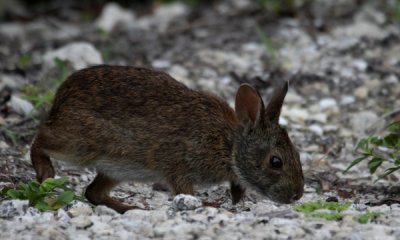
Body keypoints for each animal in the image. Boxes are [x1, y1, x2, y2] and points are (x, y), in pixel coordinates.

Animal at [30, 64, 304, 213]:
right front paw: (208, 206)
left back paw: (132, 209)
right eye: (276, 162)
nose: (297, 196)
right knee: (40, 138)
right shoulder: (179, 167)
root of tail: (60, 101)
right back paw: (45, 172)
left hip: (115, 169)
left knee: (93, 193)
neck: (228, 145)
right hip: (80, 144)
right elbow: (186, 191)